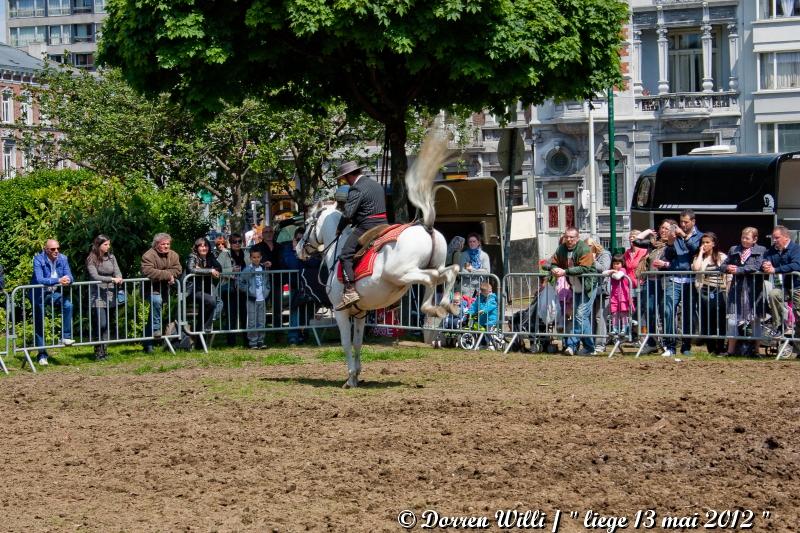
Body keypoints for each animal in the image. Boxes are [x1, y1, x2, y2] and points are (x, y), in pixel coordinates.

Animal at [296, 133, 460, 386]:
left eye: (306, 224)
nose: (298, 248)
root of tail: (426, 226)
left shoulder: (341, 313)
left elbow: (346, 343)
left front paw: (350, 378)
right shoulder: (360, 312)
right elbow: (357, 343)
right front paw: (356, 374)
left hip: (403, 273)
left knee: (430, 279)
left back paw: (431, 308)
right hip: (433, 265)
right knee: (451, 271)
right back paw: (444, 306)